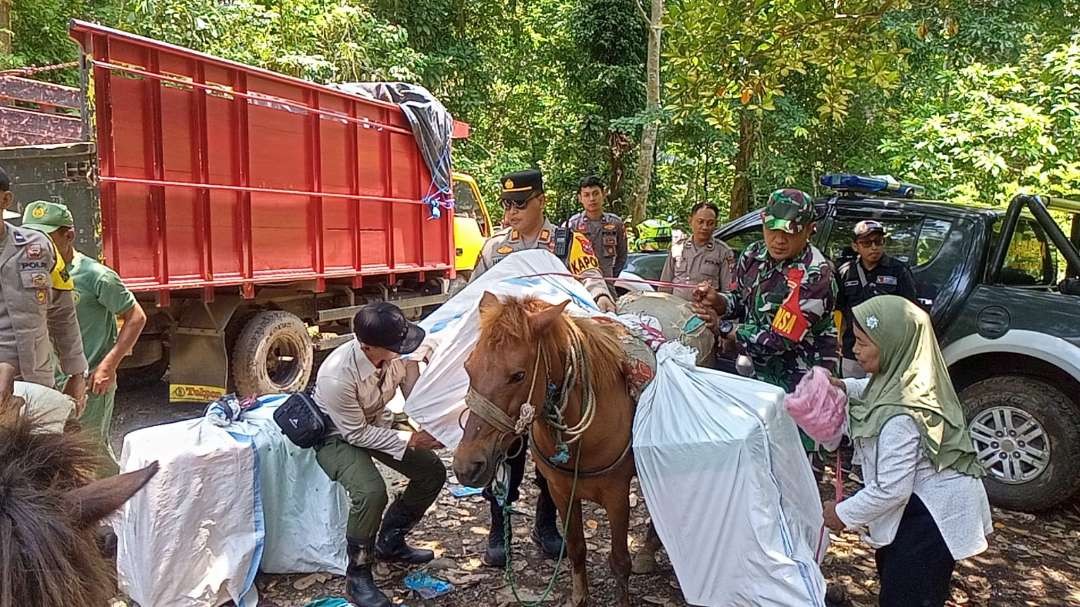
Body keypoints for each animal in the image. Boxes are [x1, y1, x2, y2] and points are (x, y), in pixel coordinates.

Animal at [451, 293, 660, 604]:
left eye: (518, 375)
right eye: (468, 367)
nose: (467, 466)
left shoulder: (617, 494)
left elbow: (620, 560)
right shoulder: (561, 490)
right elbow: (576, 548)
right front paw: (580, 597)